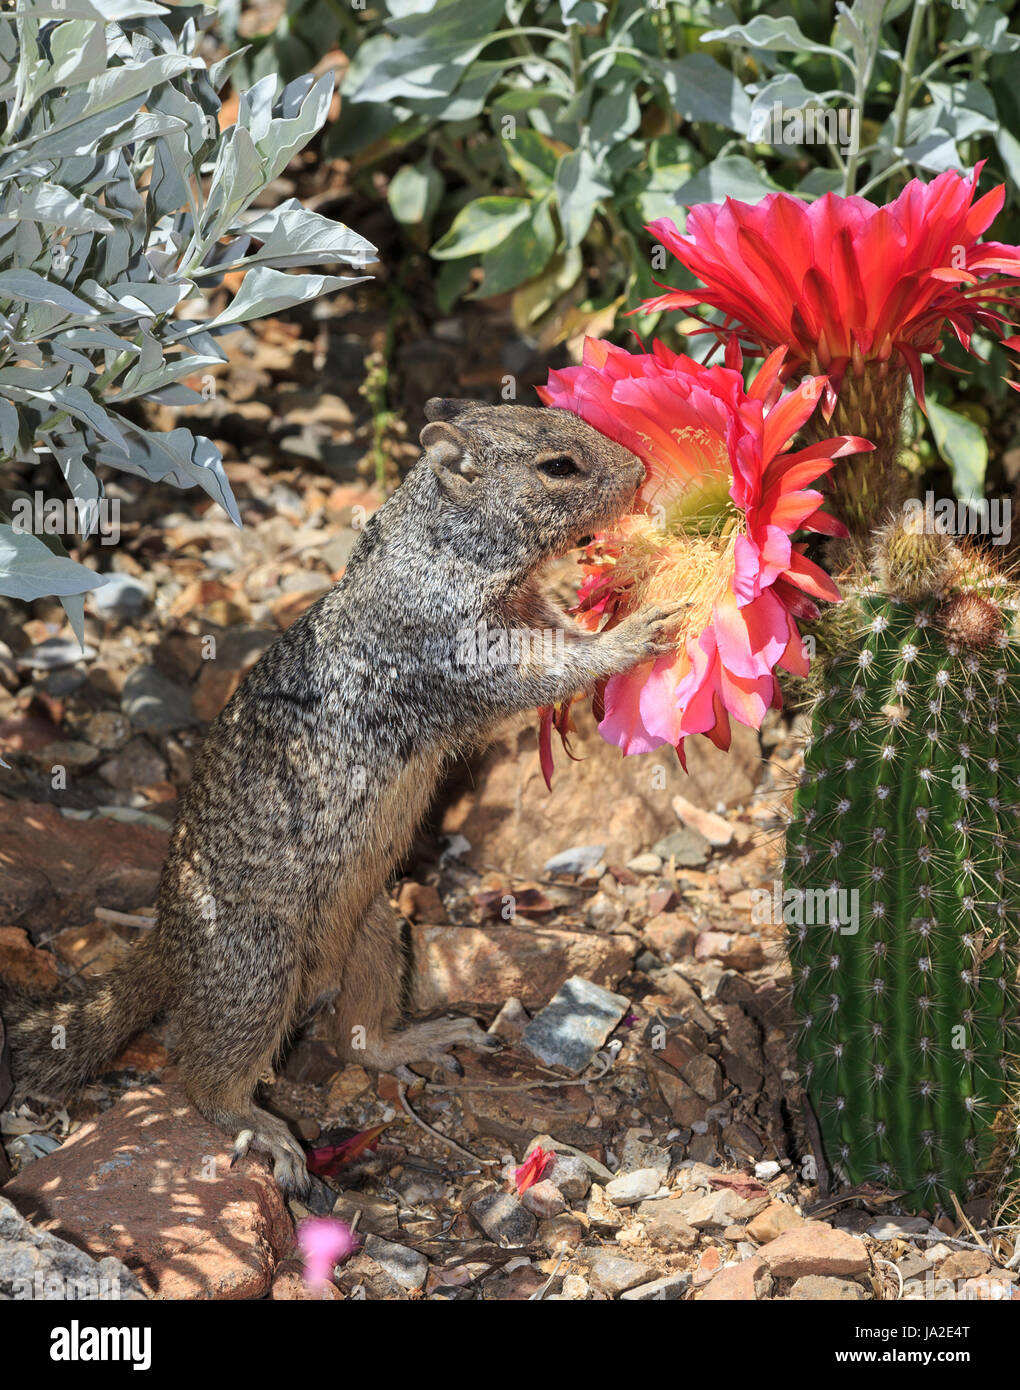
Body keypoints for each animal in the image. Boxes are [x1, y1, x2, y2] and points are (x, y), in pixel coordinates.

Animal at [2, 398, 679, 1193]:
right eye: (558, 467)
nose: (639, 473)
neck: (443, 550)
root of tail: (167, 941)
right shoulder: (457, 645)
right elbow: (543, 672)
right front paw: (634, 633)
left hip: (376, 932)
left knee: (357, 1039)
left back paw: (418, 1040)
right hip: (258, 973)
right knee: (200, 1076)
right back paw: (265, 1130)